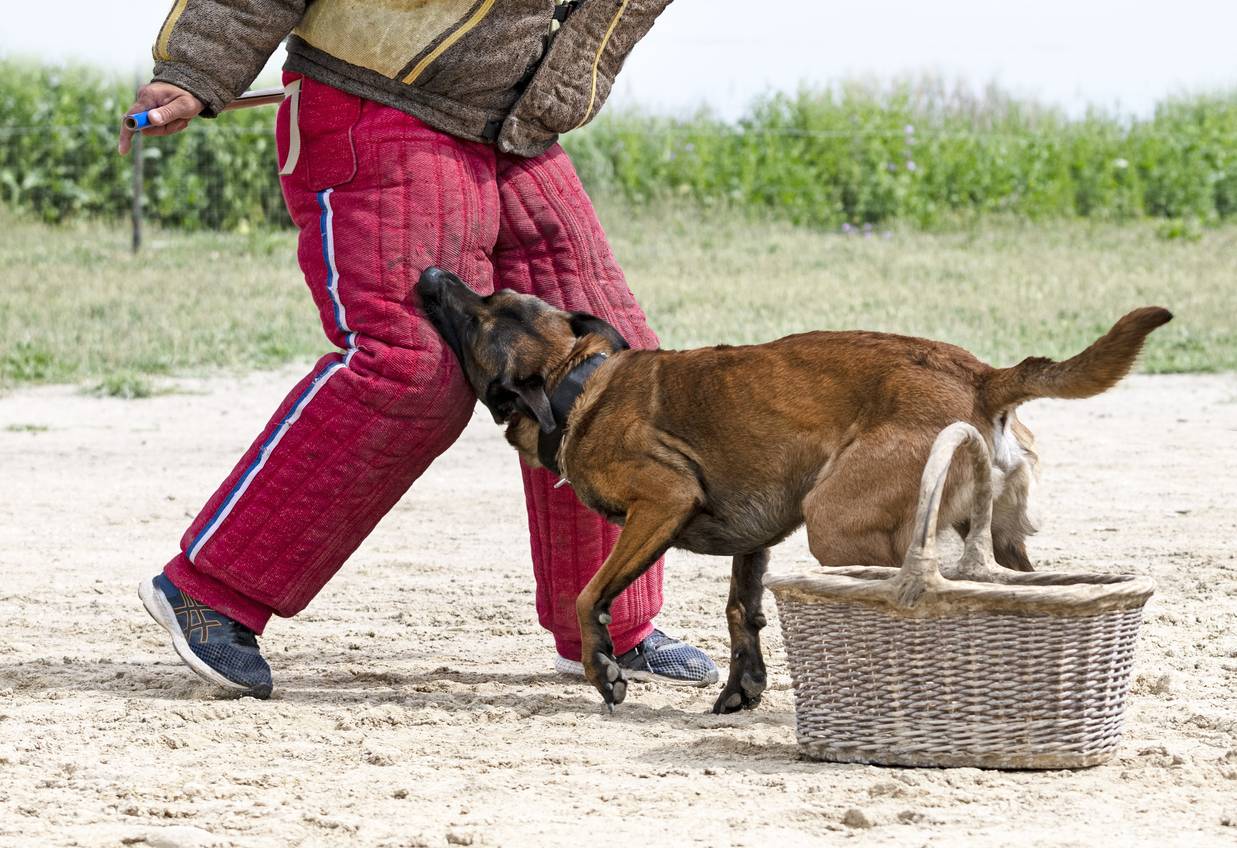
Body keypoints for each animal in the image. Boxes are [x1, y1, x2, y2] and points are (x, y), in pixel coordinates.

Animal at [415, 267, 1167, 716]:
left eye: (481, 315)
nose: (430, 273)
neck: (578, 383)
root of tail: (981, 376)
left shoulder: (661, 501)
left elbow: (587, 594)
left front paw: (605, 673)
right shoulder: (754, 539)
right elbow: (740, 611)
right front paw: (740, 688)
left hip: (836, 523)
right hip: (1002, 544)